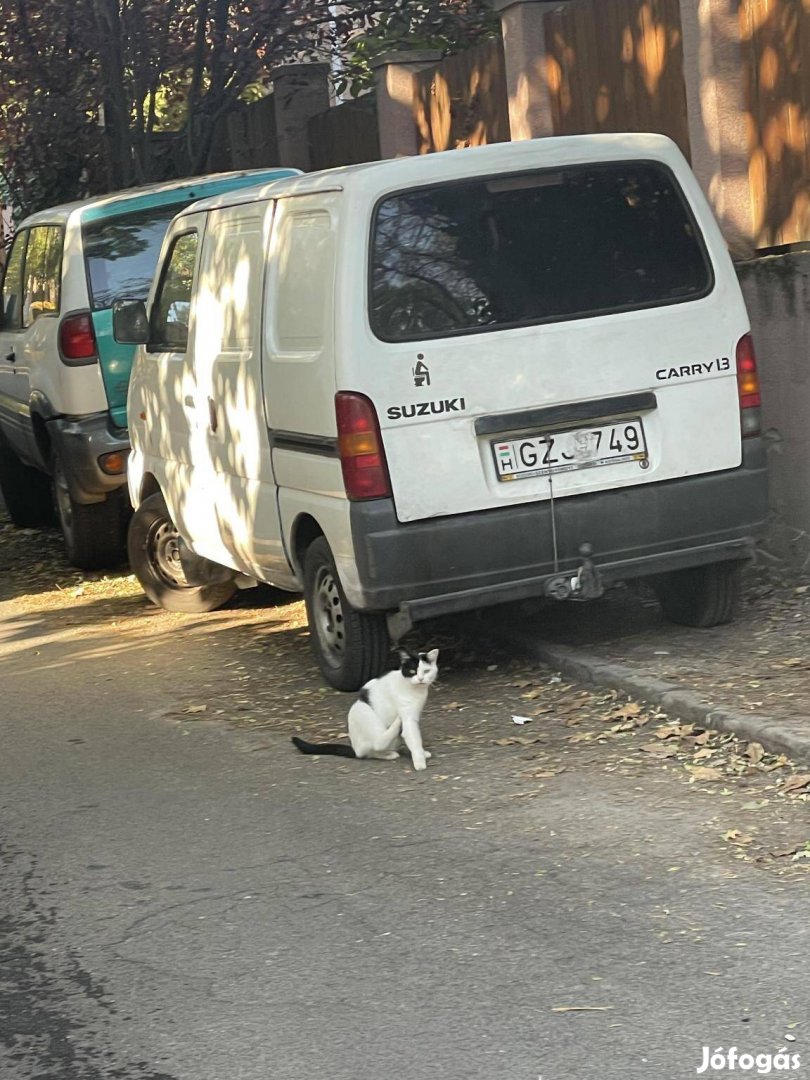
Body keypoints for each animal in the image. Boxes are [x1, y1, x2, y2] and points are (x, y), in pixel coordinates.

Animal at [295, 648, 440, 768]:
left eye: (426, 671)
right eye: (412, 671)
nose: (421, 679)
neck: (416, 691)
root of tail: (355, 749)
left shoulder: (414, 716)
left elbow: (414, 737)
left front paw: (422, 753)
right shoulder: (408, 718)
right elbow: (414, 738)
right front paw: (419, 762)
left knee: (370, 752)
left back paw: (389, 752)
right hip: (362, 710)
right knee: (376, 744)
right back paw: (391, 744)